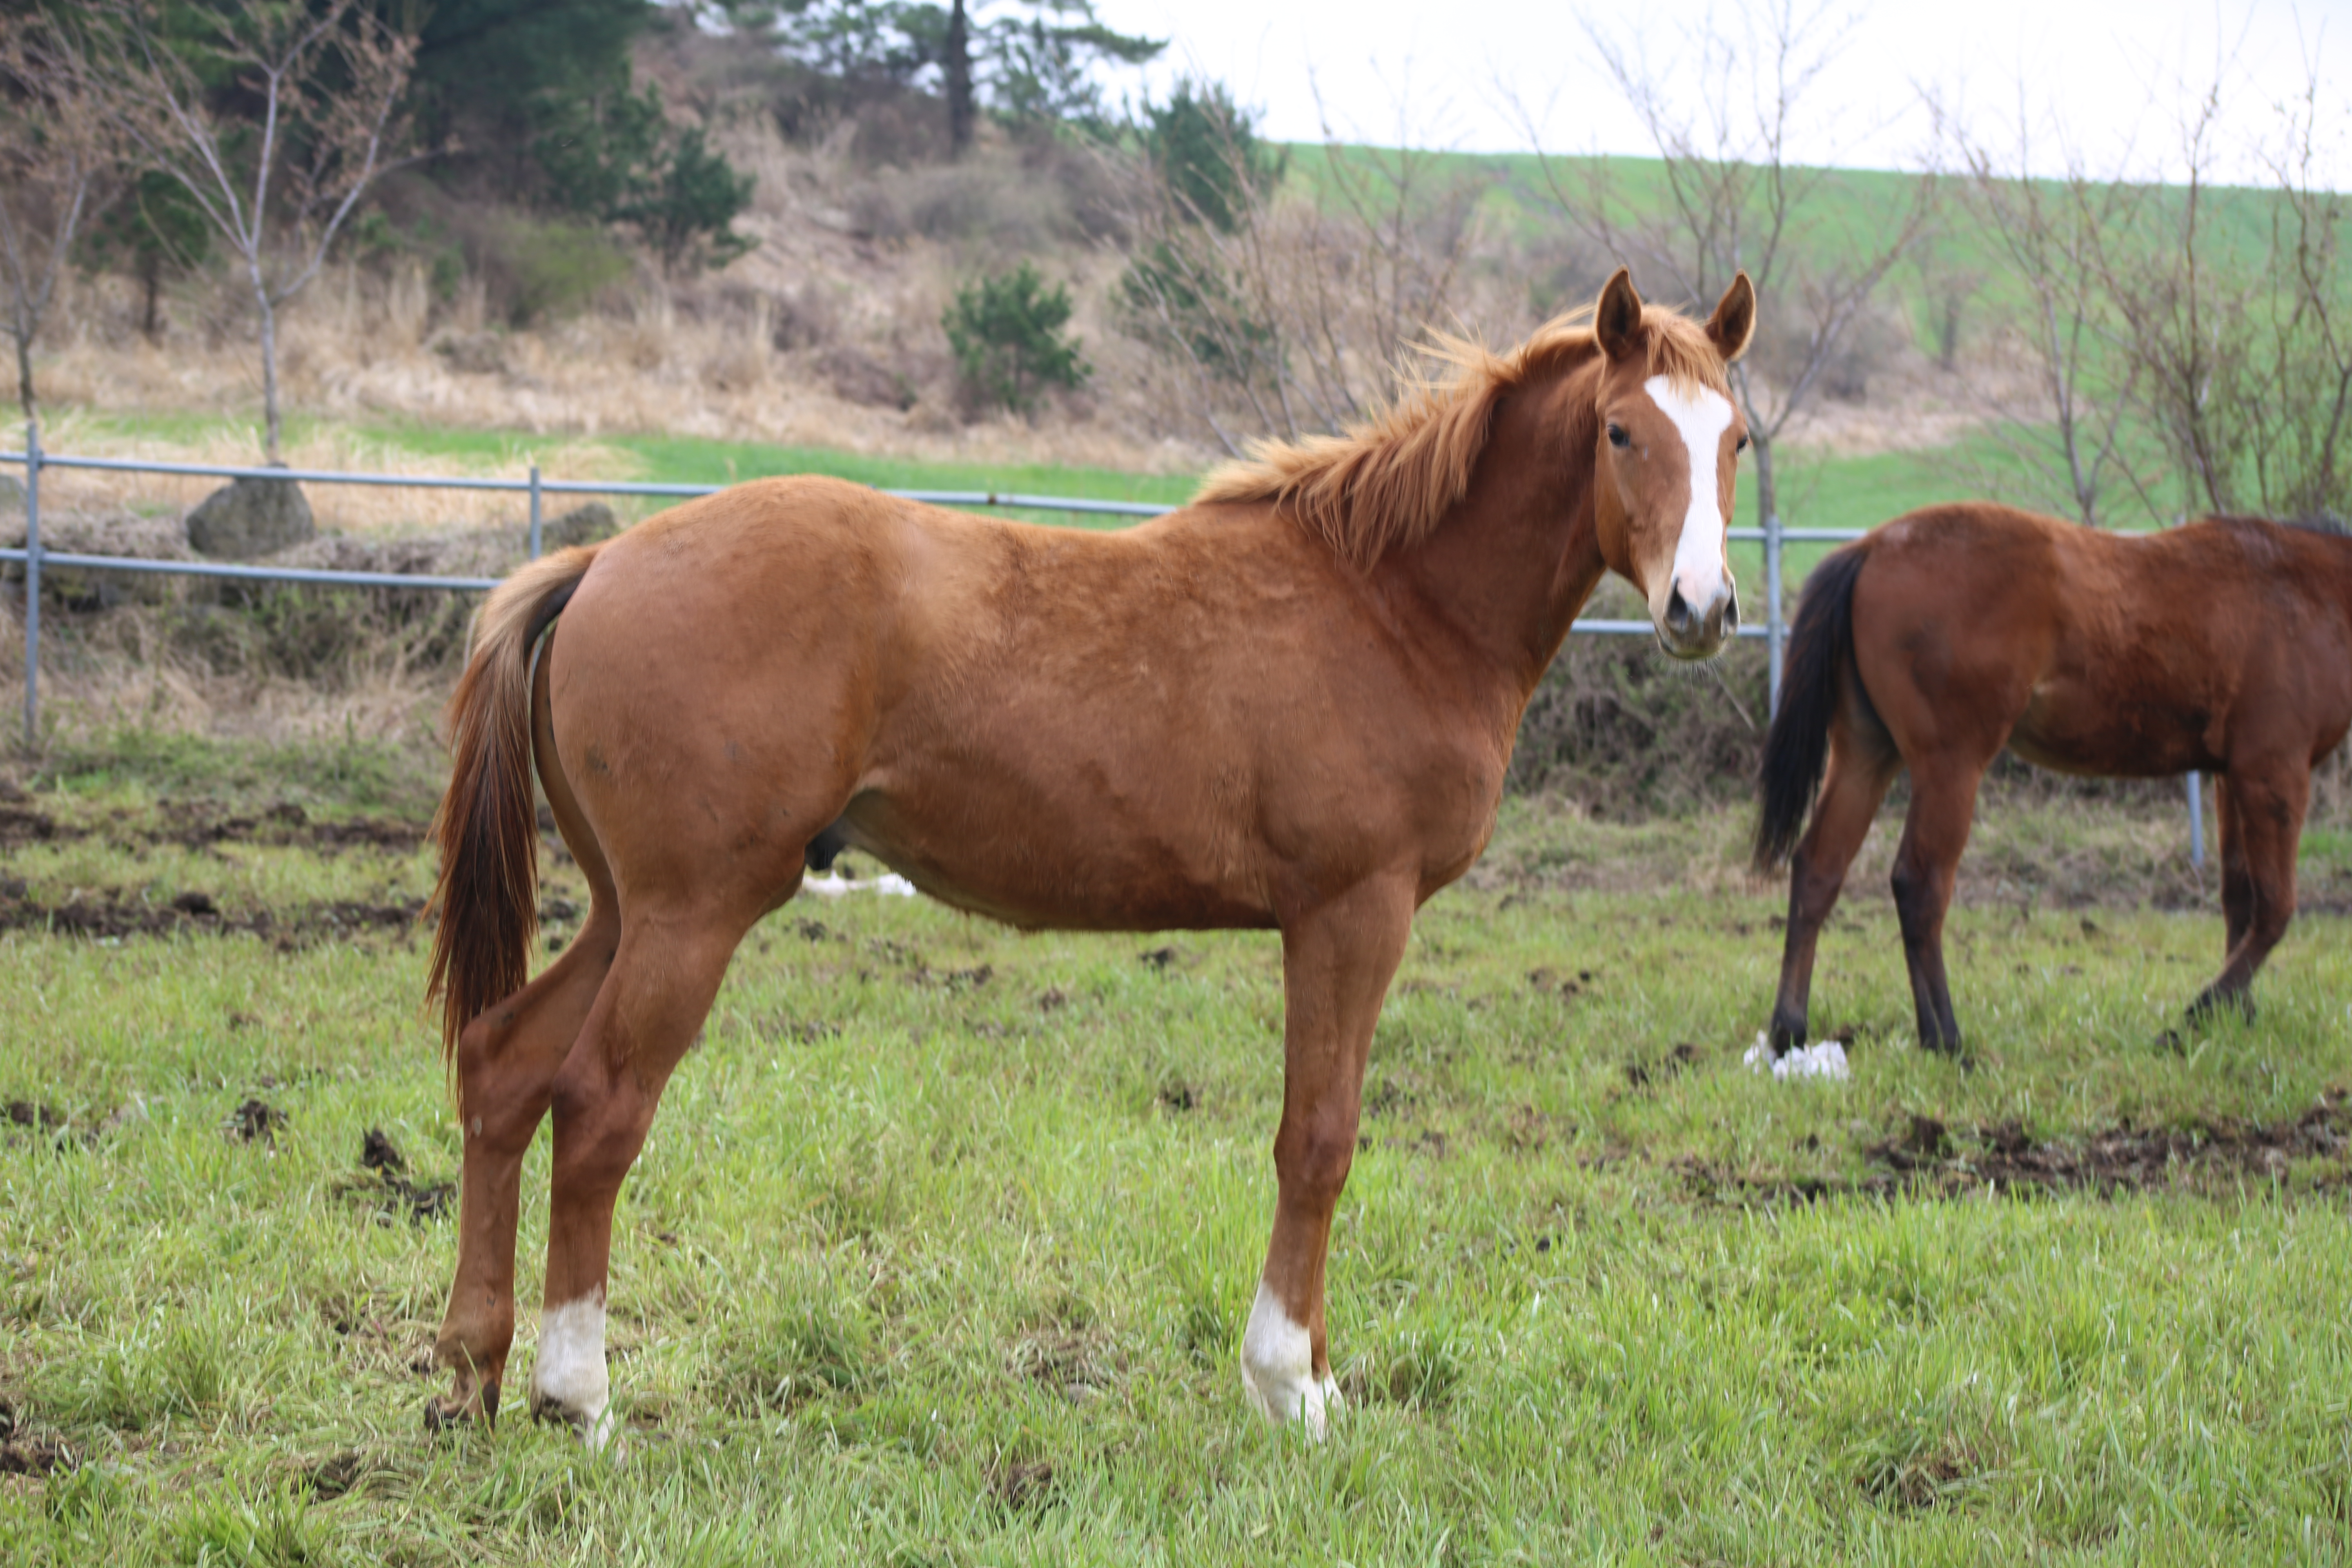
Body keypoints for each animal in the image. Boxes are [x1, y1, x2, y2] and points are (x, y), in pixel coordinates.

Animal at [423, 261, 1759, 1448]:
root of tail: (599, 560)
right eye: (1621, 431)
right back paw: (578, 1397)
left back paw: (474, 1370)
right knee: (598, 1107)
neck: (1390, 603)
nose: (1701, 608)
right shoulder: (1351, 912)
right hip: (691, 915)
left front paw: (1321, 1378)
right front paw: (1291, 1389)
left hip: (624, 912)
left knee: (503, 1068)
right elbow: (1318, 1140)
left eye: (1736, 438)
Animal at [1750, 510, 2352, 1062]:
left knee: (1819, 869)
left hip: (1867, 757)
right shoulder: (2274, 774)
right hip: (1950, 767)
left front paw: (2235, 1018)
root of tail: (1873, 547)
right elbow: (2275, 909)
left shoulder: (2232, 778)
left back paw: (1789, 1029)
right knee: (1920, 886)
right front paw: (2199, 1015)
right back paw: (1945, 1039)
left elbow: (2240, 900)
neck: (2306, 591)